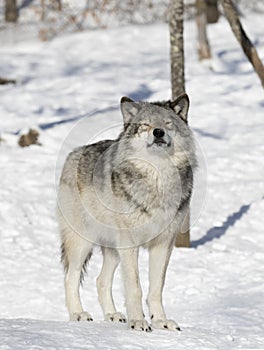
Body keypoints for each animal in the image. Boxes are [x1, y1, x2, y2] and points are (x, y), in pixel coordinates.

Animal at [58, 92, 198, 330]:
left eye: (168, 124)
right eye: (146, 125)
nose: (158, 132)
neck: (158, 177)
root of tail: (75, 153)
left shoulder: (163, 244)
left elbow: (156, 289)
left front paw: (160, 321)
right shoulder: (130, 244)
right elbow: (135, 286)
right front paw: (138, 322)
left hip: (114, 250)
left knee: (101, 280)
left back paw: (113, 315)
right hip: (83, 243)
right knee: (71, 277)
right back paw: (78, 314)